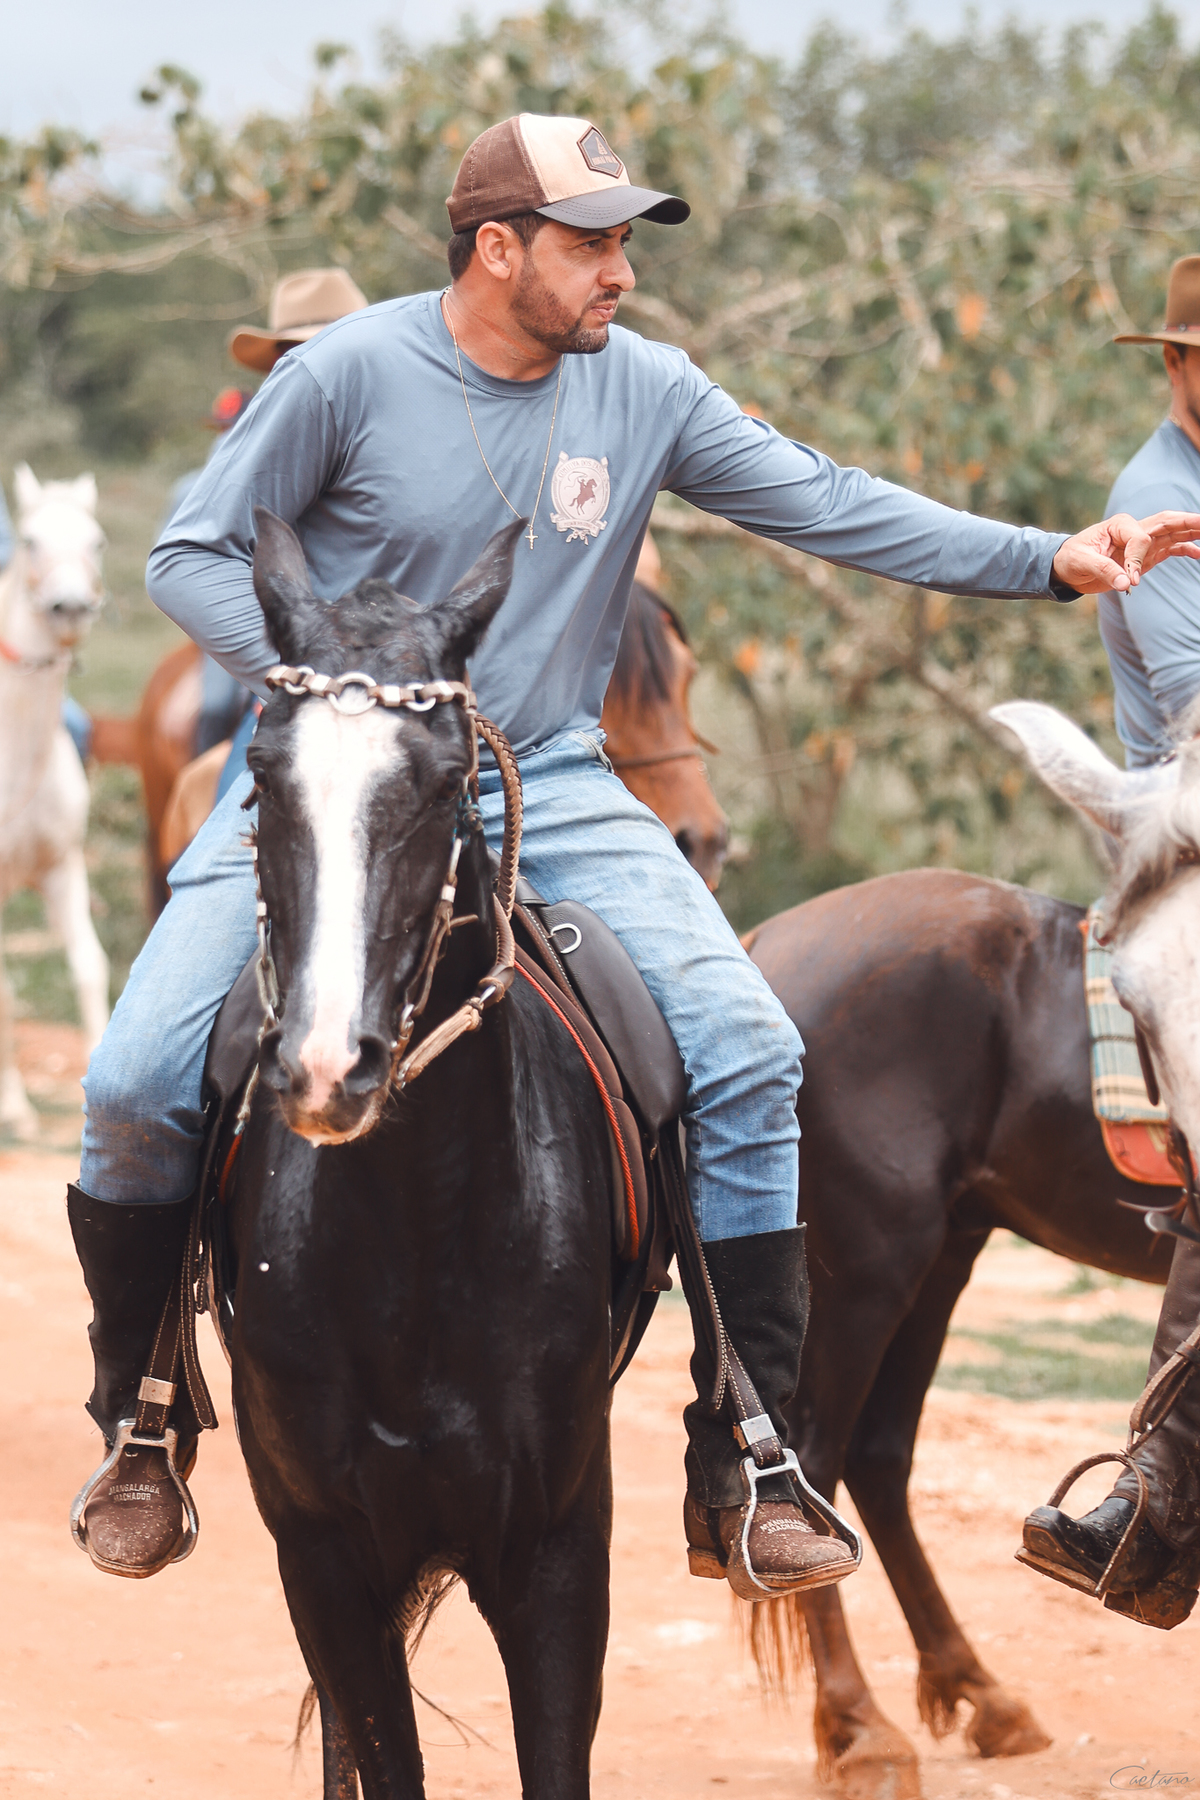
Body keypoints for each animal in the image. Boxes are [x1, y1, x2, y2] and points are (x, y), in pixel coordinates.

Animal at [220, 511, 628, 1797]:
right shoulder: (324, 1557)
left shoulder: (557, 1552)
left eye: (449, 780)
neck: (415, 1234)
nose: (322, 1067)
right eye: (263, 774)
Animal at [736, 734, 1187, 1798]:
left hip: (941, 1252)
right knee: (816, 1459)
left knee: (877, 1457)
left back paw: (978, 1693)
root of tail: (767, 947)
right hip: (869, 1264)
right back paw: (859, 1727)